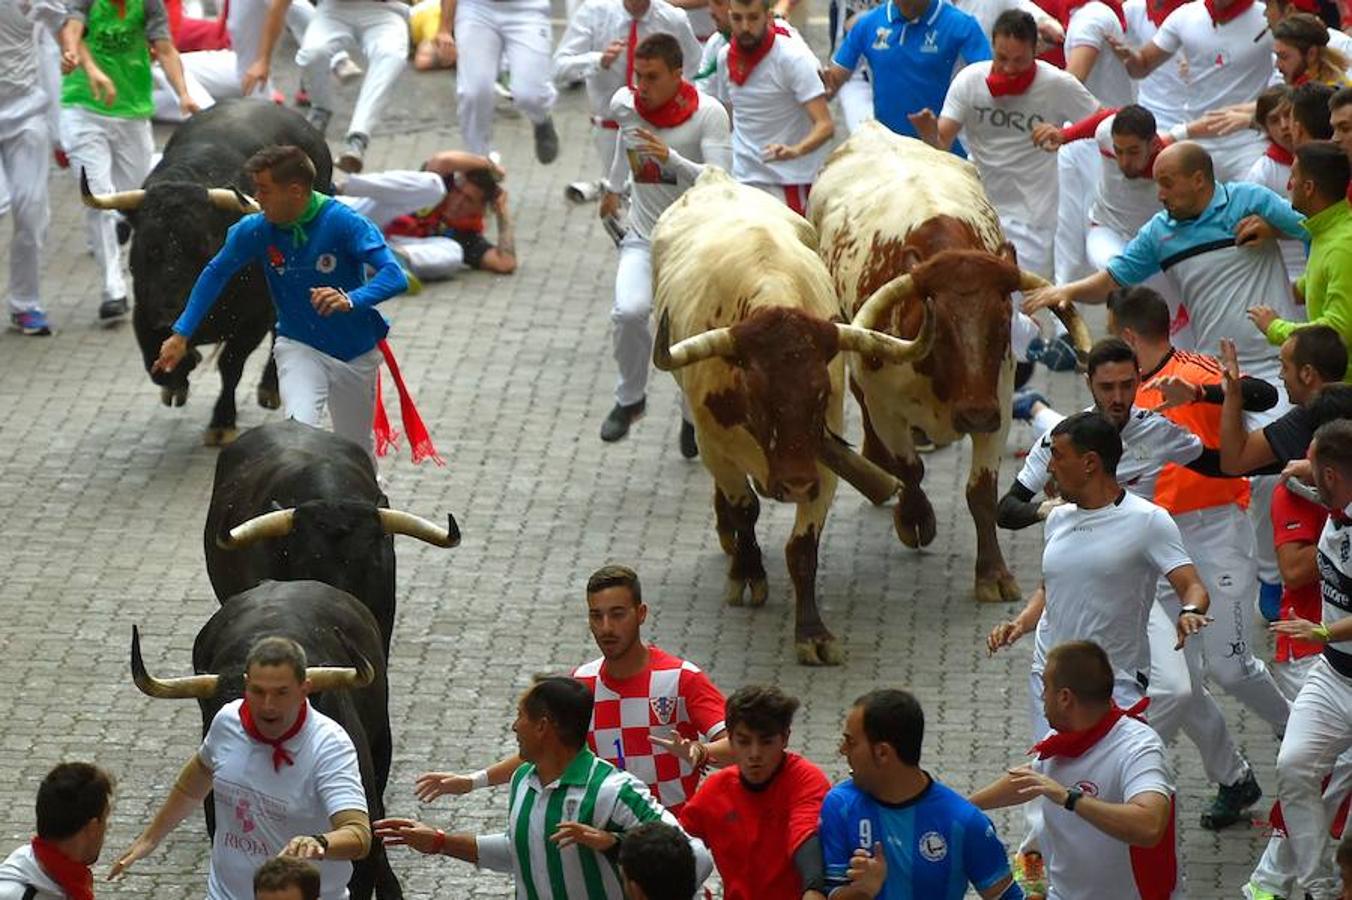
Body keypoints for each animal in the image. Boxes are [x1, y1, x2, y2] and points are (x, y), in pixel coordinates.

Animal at [81, 99, 335, 445]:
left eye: (204, 247)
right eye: (150, 247)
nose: (172, 310)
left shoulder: (254, 319)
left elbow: (231, 365)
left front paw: (222, 423)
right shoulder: (144, 310)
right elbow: (154, 357)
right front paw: (179, 376)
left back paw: (270, 389)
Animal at [651, 168, 930, 662]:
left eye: (820, 394)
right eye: (758, 396)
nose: (795, 484)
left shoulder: (823, 458)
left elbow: (802, 550)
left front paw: (812, 633)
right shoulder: (714, 446)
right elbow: (745, 509)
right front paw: (748, 574)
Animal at [811, 122, 1087, 602]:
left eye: (1003, 318)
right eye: (936, 327)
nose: (973, 413)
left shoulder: (998, 399)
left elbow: (981, 492)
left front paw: (993, 573)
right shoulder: (886, 405)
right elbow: (910, 468)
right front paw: (915, 519)